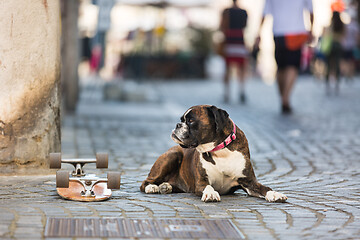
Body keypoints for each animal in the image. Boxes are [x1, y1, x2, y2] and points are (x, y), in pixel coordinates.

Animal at [141, 105, 286, 202]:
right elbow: (208, 187)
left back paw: (166, 186)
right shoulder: (201, 182)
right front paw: (211, 194)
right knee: (145, 183)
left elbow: (265, 188)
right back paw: (153, 187)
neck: (220, 151)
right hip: (173, 155)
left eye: (191, 121)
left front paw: (275, 194)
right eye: (182, 120)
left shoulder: (249, 183)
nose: (177, 125)